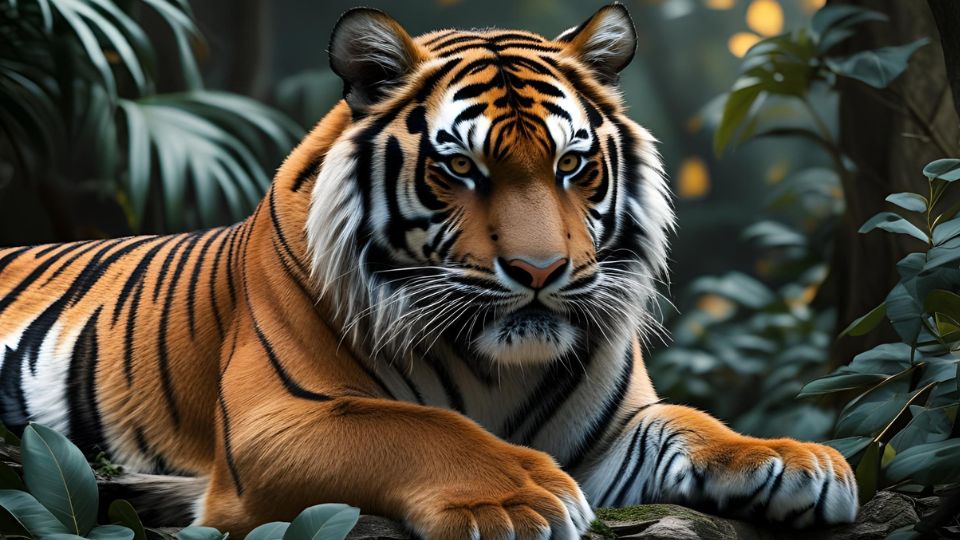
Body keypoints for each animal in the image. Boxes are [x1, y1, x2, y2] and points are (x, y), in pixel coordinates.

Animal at [0, 4, 859, 538]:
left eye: (572, 164)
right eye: (461, 168)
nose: (541, 270)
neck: (496, 364)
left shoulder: (614, 433)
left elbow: (691, 423)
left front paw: (793, 460)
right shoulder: (278, 419)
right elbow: (417, 428)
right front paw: (523, 495)